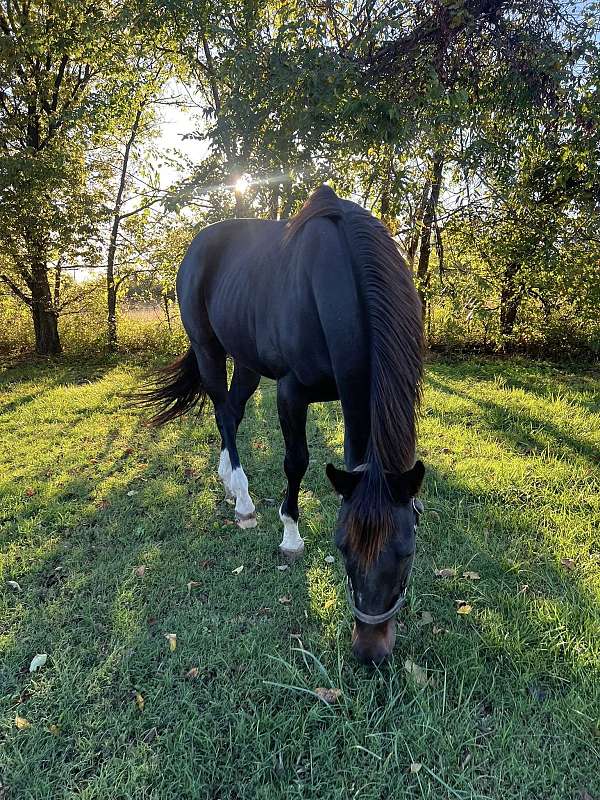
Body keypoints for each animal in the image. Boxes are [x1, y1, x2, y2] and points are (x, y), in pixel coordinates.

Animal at [134, 185, 425, 664]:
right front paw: (290, 536)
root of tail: (199, 243)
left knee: (233, 412)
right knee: (222, 412)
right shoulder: (291, 392)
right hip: (208, 349)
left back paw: (228, 479)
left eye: (406, 551)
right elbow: (296, 462)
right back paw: (242, 498)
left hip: (247, 360)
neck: (335, 284)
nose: (370, 651)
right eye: (342, 547)